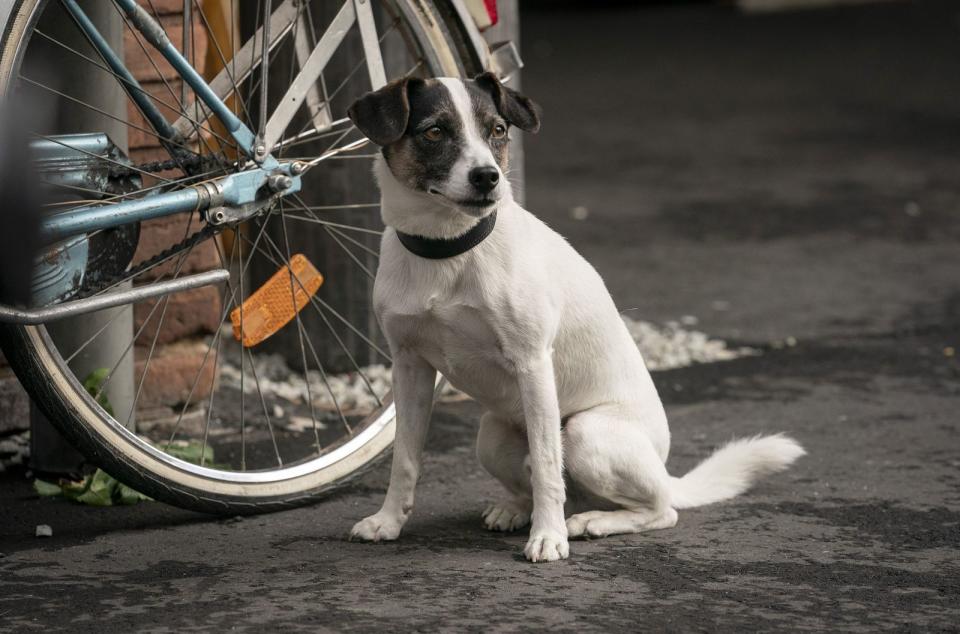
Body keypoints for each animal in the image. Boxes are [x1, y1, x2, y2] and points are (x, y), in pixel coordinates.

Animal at [344, 71, 804, 560]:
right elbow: (405, 459)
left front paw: (548, 537)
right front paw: (388, 521)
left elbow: (548, 465)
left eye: (498, 130)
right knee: (540, 484)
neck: (448, 249)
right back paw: (516, 510)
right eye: (434, 132)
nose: (488, 177)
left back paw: (590, 522)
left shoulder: (532, 364)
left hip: (587, 433)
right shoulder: (409, 366)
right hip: (491, 437)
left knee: (658, 509)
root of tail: (664, 472)